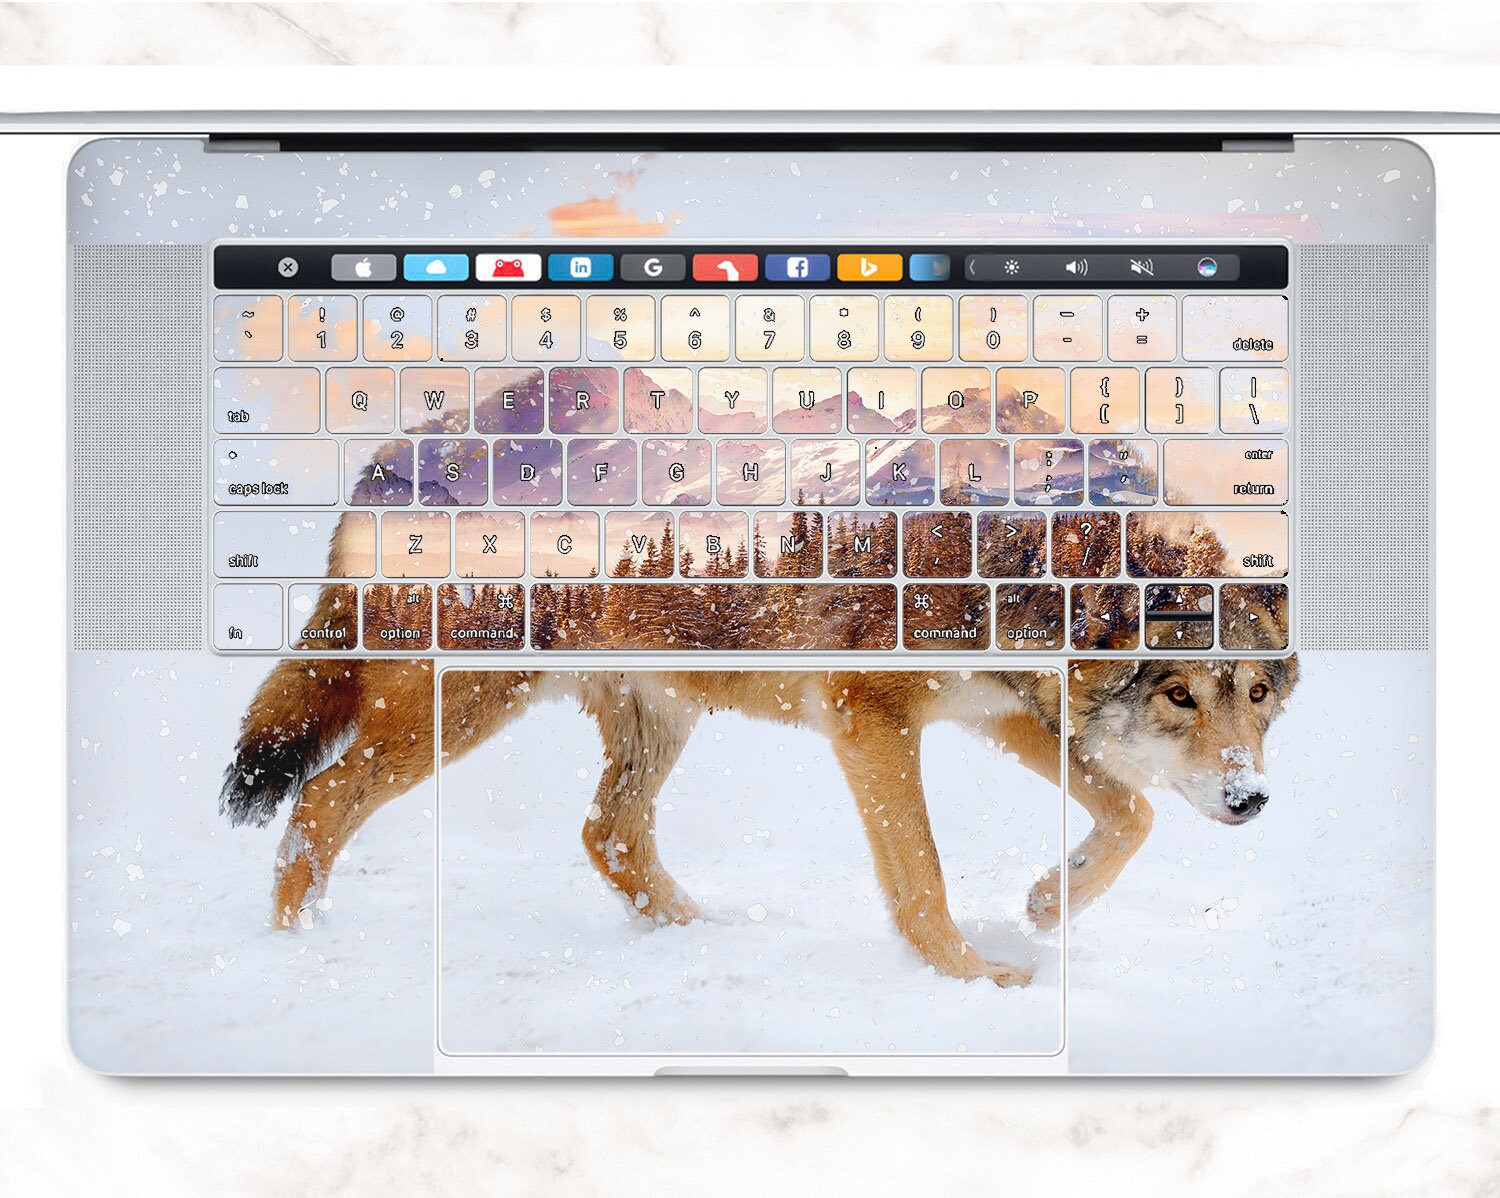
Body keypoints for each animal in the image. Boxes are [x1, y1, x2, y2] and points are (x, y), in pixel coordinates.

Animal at [220, 582, 1297, 987]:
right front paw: (977, 979)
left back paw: (706, 935)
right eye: (1180, 694)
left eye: (1253, 693)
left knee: (606, 832)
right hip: (459, 713)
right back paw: (294, 951)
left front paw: (1045, 902)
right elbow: (921, 876)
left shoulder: (995, 712)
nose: (1251, 801)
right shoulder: (870, 716)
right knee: (319, 799)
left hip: (655, 722)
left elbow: (1134, 810)